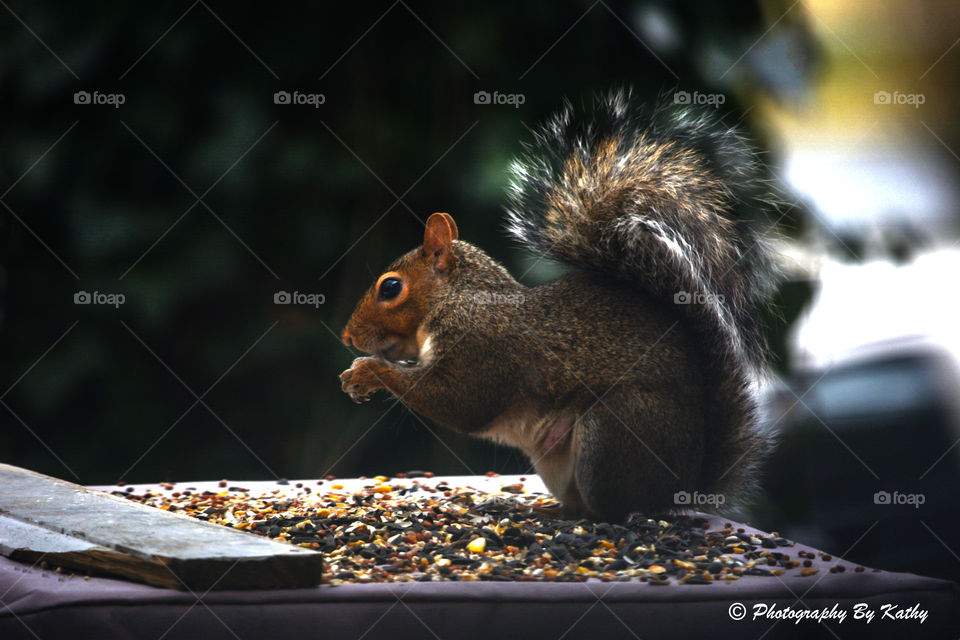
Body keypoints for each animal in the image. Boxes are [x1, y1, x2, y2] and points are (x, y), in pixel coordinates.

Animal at [340, 90, 778, 522]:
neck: (457, 299)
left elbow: (458, 401)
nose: (347, 337)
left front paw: (366, 372)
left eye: (390, 288)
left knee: (611, 510)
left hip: (612, 430)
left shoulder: (481, 346)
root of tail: (682, 485)